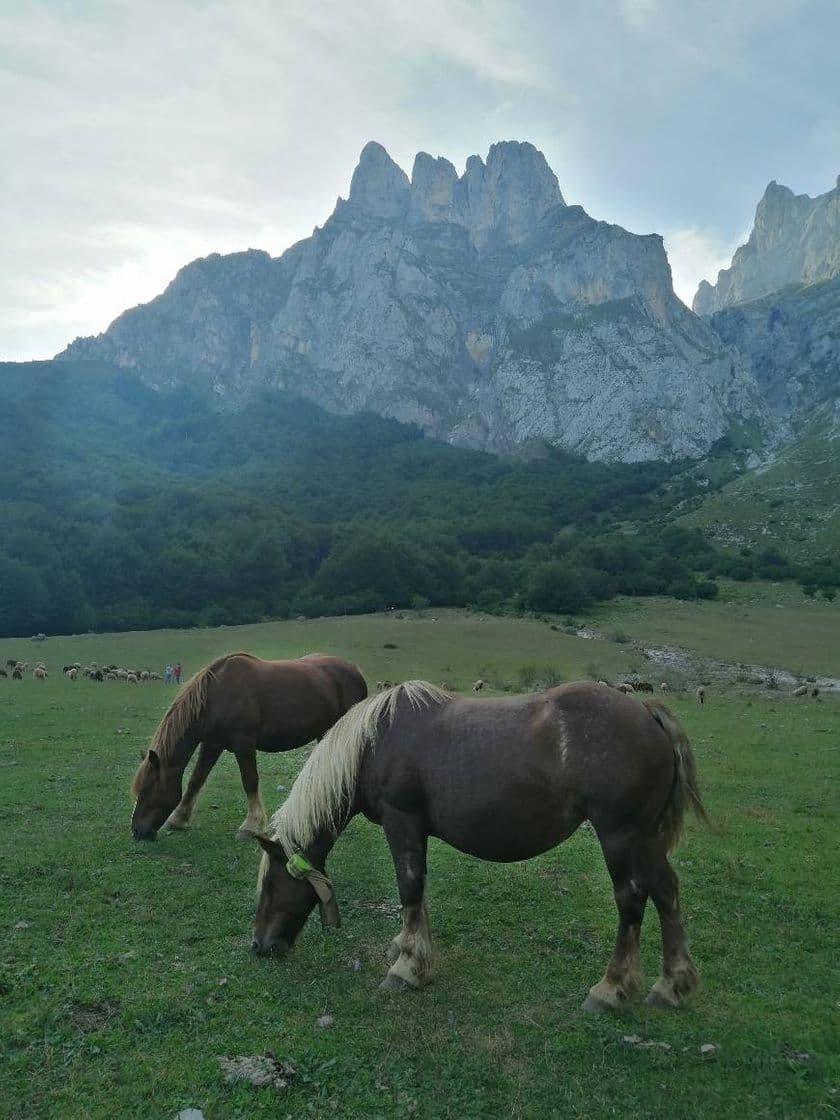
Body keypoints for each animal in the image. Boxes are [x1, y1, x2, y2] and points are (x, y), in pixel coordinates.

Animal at [131, 654, 365, 842]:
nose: (137, 831)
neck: (217, 694)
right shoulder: (212, 745)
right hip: (324, 733)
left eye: (146, 789)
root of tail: (355, 670)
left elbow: (249, 780)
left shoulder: (243, 742)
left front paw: (251, 826)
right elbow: (195, 780)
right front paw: (178, 819)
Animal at [252, 676, 712, 1012]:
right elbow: (419, 894)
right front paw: (413, 953)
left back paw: (611, 989)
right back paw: (671, 985)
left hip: (621, 837)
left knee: (631, 901)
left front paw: (407, 968)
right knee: (666, 891)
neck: (374, 744)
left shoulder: (402, 823)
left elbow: (409, 888)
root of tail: (647, 713)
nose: (259, 946)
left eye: (270, 885)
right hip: (645, 840)